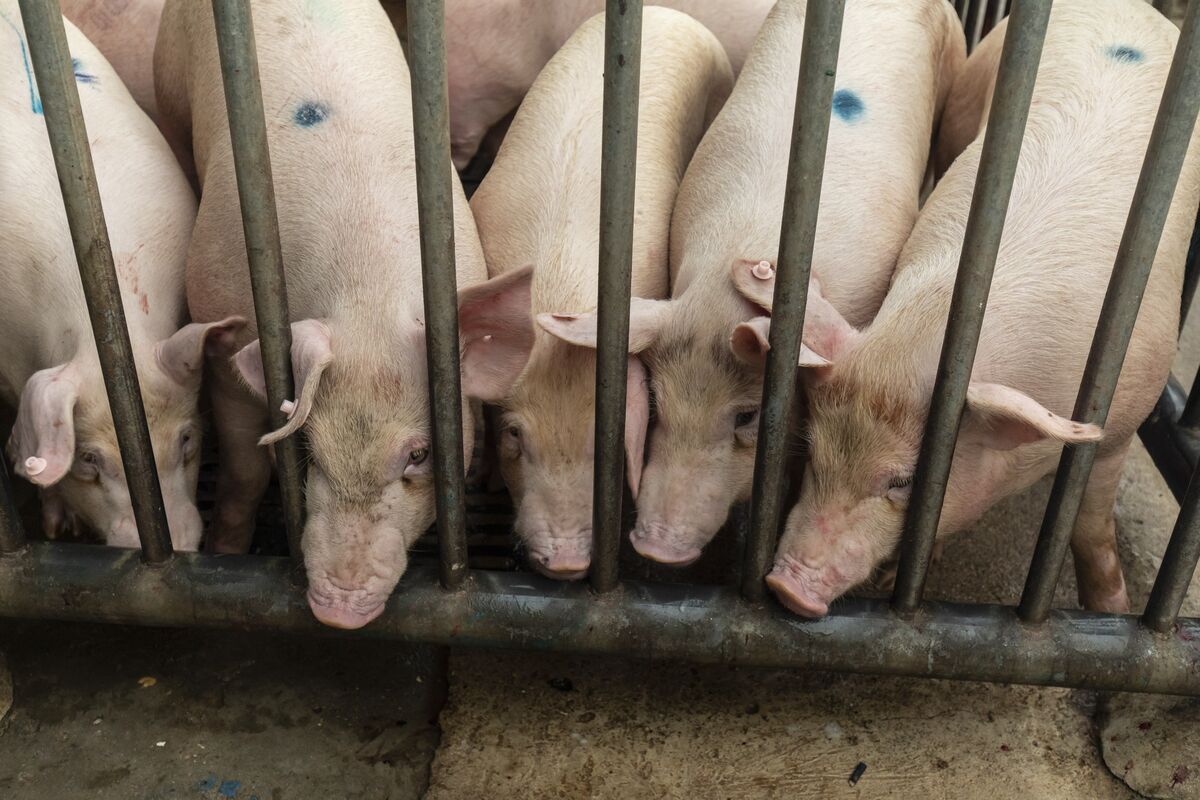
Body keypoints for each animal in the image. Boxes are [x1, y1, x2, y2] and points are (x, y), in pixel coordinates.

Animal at [155, 0, 487, 628]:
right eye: (309, 452)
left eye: (418, 454)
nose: (337, 612)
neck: (365, 295)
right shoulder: (222, 326)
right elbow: (246, 470)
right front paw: (226, 554)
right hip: (169, 82)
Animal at [457, 8, 733, 578]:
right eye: (516, 434)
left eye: (601, 442)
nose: (564, 562)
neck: (558, 290)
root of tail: (670, 13)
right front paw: (485, 479)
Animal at [753, 0, 1200, 618]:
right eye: (814, 455)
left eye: (903, 482)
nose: (784, 586)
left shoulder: (1125, 418)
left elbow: (1089, 528)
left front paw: (1110, 610)